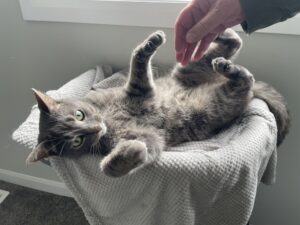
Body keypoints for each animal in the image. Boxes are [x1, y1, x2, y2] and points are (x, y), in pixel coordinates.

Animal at [27, 29, 290, 178]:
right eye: (77, 141)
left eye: (79, 115)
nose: (96, 128)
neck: (108, 118)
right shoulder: (150, 137)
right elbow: (116, 166)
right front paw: (127, 155)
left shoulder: (139, 89)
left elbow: (138, 60)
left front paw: (151, 43)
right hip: (222, 97)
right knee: (245, 79)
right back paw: (227, 64)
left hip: (192, 66)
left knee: (233, 45)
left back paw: (217, 39)